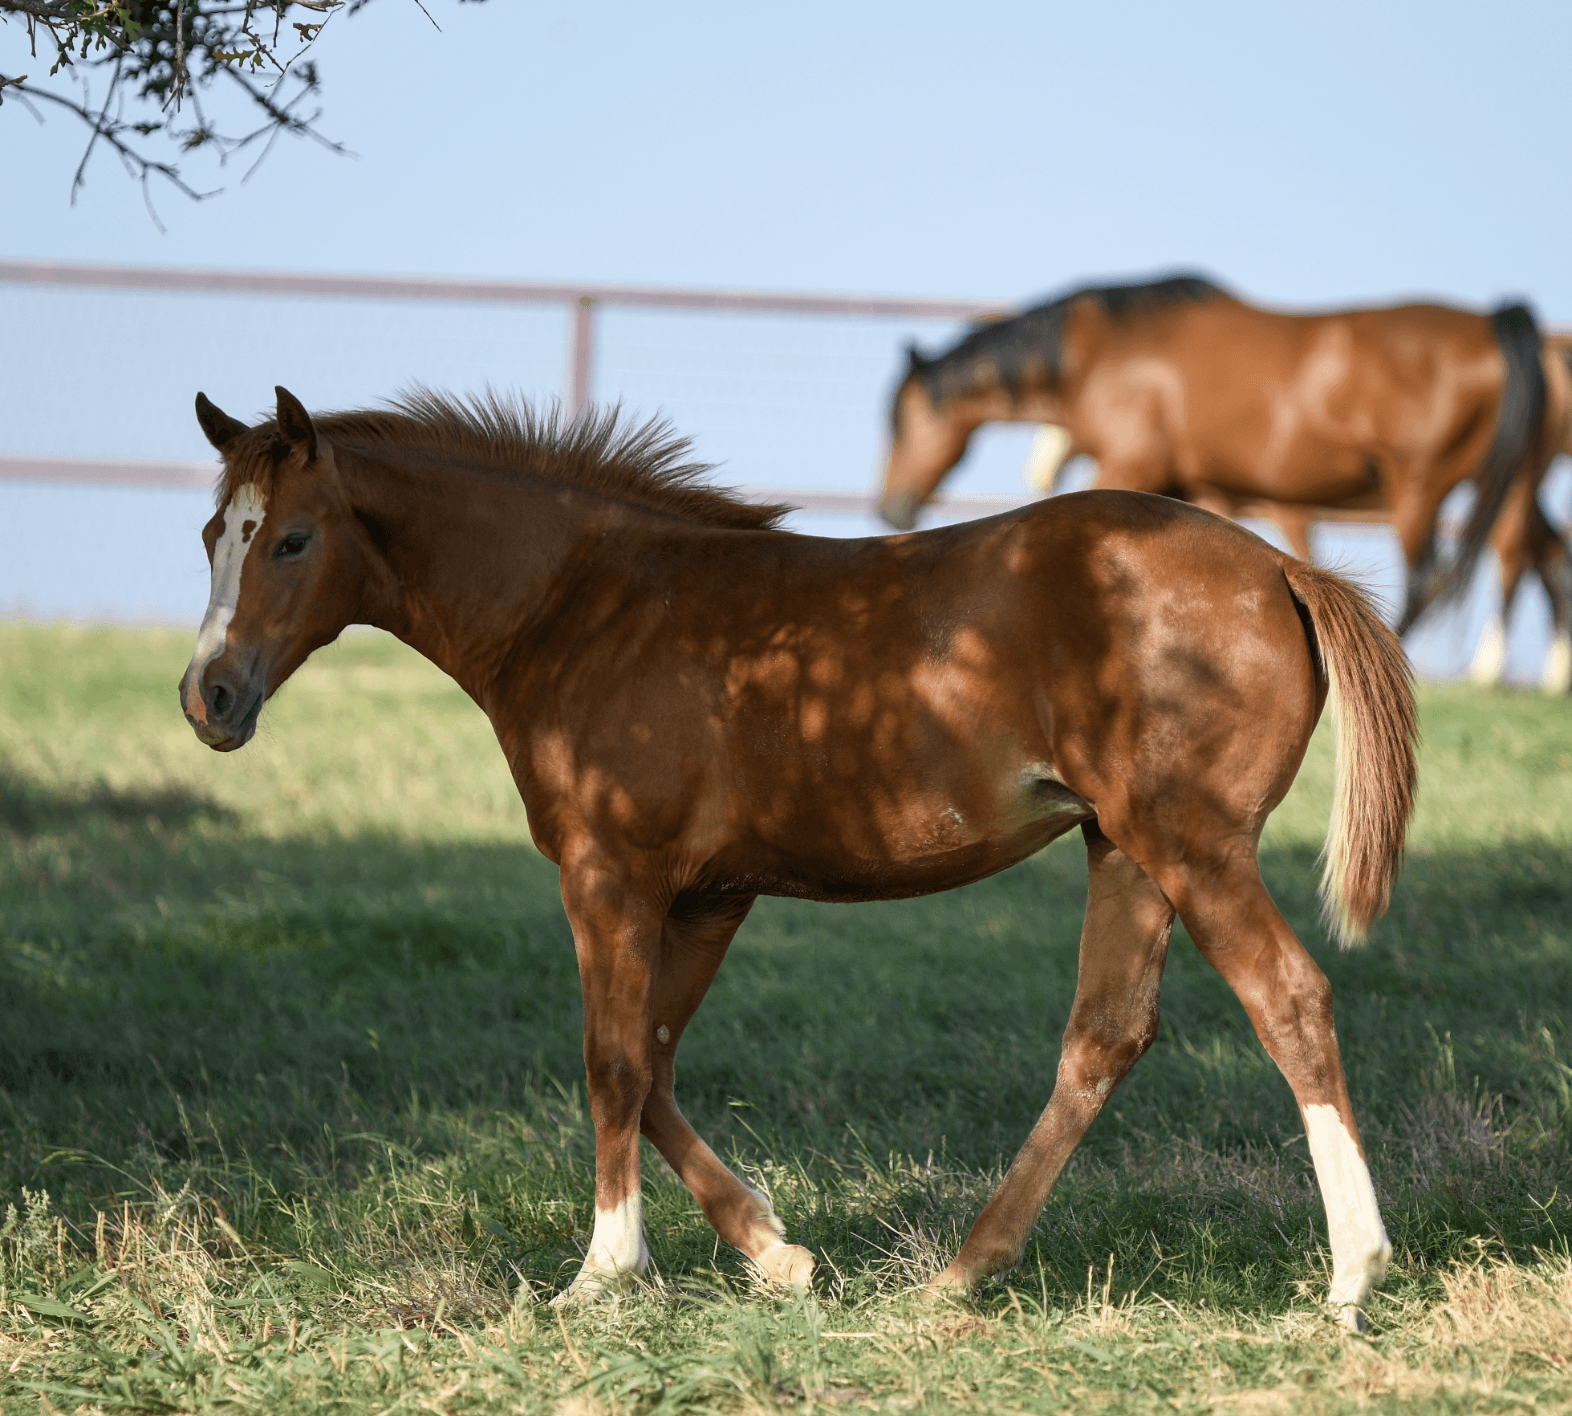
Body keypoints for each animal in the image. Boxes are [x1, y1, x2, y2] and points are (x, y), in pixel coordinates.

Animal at [180, 385, 1417, 1330]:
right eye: (209, 537)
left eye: (292, 538)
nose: (210, 698)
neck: (587, 604)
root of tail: (1281, 570)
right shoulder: (710, 896)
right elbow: (655, 1064)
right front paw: (778, 1254)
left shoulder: (610, 875)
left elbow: (610, 1061)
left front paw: (603, 1275)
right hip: (1124, 849)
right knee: (1104, 1037)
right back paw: (961, 1274)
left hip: (1192, 844)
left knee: (1289, 998)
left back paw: (1353, 1276)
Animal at [877, 275, 1565, 649]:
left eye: (899, 422)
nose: (890, 505)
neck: (1103, 351)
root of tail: (1494, 322)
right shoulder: (1190, 488)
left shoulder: (1130, 468)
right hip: (1513, 485)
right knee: (1533, 553)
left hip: (1419, 487)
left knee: (1433, 576)